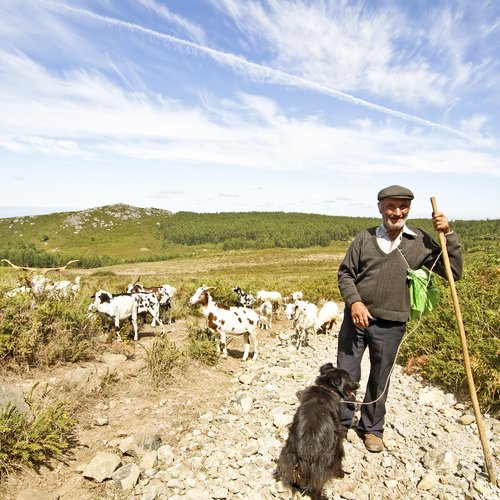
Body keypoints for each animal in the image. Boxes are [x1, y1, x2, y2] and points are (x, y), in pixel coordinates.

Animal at [278, 364, 360, 500]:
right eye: (348, 378)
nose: (358, 384)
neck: (326, 388)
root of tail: (306, 448)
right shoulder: (338, 440)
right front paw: (341, 474)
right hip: (326, 459)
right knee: (317, 485)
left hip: (289, 456)